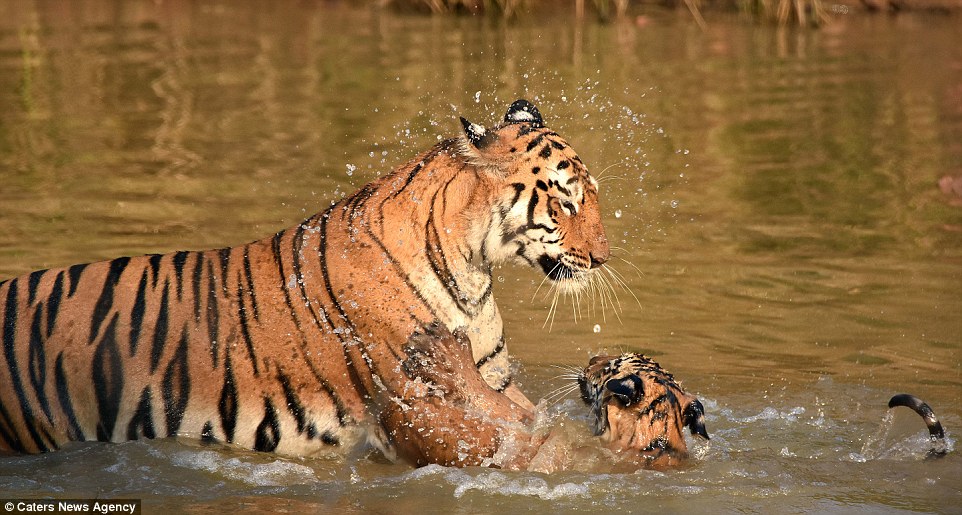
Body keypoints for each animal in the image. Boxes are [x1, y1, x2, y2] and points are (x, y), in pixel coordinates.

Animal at [1, 100, 616, 468]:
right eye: (566, 203)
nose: (602, 257)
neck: (470, 267)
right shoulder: (414, 408)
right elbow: (517, 448)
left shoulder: (495, 382)